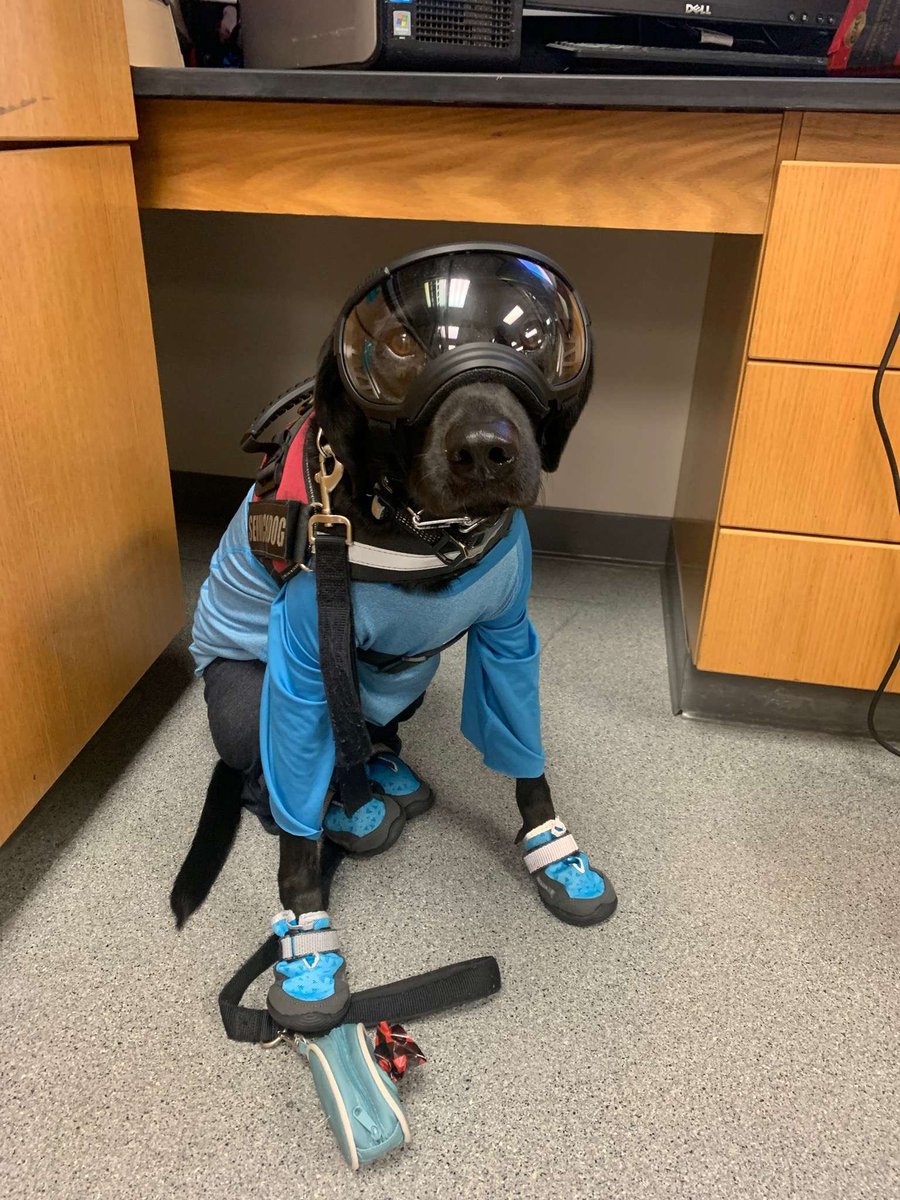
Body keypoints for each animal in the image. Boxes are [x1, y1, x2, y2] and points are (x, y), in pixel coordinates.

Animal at [172, 241, 619, 1032]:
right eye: (402, 347)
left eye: (533, 338)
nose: (485, 450)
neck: (424, 531)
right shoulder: (298, 675)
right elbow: (295, 847)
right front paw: (307, 947)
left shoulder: (509, 639)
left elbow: (528, 763)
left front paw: (554, 852)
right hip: (248, 699)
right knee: (270, 785)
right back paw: (339, 813)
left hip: (408, 677)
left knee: (369, 737)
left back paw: (380, 780)